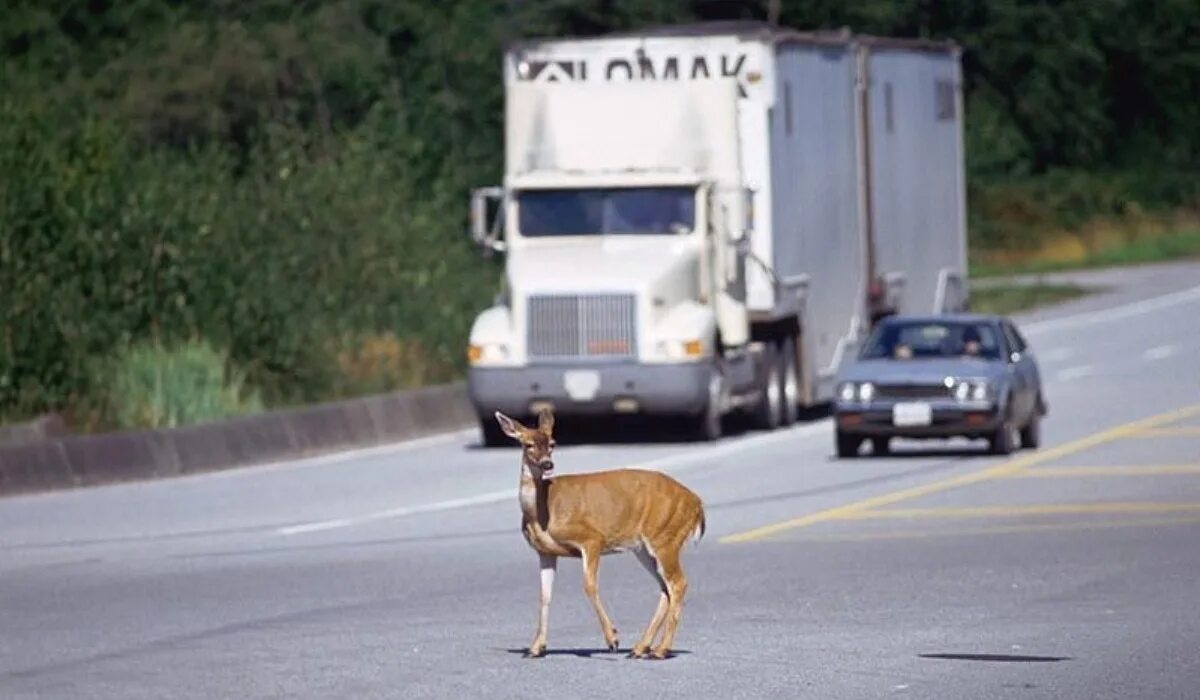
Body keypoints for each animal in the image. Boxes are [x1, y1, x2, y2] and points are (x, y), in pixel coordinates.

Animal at [494, 408, 705, 657]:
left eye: (552, 443)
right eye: (528, 444)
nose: (547, 464)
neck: (543, 513)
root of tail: (697, 504)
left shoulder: (591, 538)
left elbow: (589, 585)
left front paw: (612, 639)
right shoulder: (545, 552)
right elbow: (545, 596)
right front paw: (536, 648)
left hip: (665, 535)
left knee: (679, 583)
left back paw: (660, 650)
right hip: (645, 547)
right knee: (666, 587)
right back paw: (641, 648)